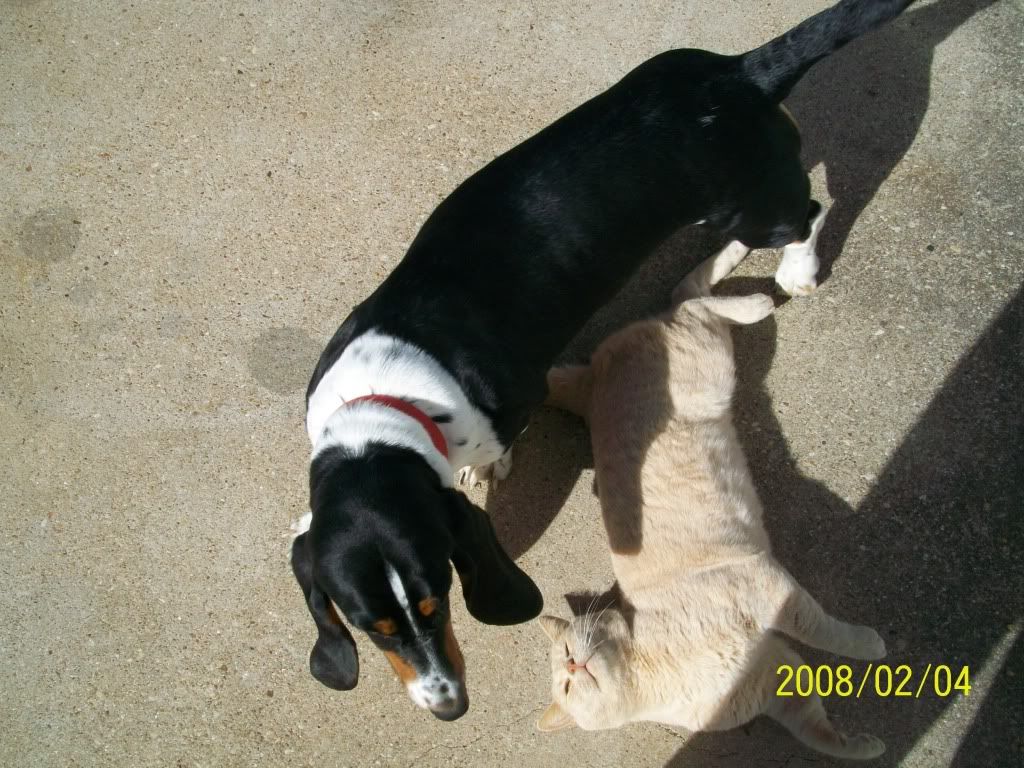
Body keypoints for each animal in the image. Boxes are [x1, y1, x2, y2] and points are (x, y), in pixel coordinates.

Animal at [539, 240, 887, 760]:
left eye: (565, 659)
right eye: (564, 681)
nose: (573, 667)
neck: (652, 664)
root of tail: (590, 387)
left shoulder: (771, 590)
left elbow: (826, 630)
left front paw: (870, 645)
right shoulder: (774, 683)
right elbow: (818, 730)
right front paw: (863, 745)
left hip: (710, 360)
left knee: (690, 300)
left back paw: (758, 293)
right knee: (687, 295)